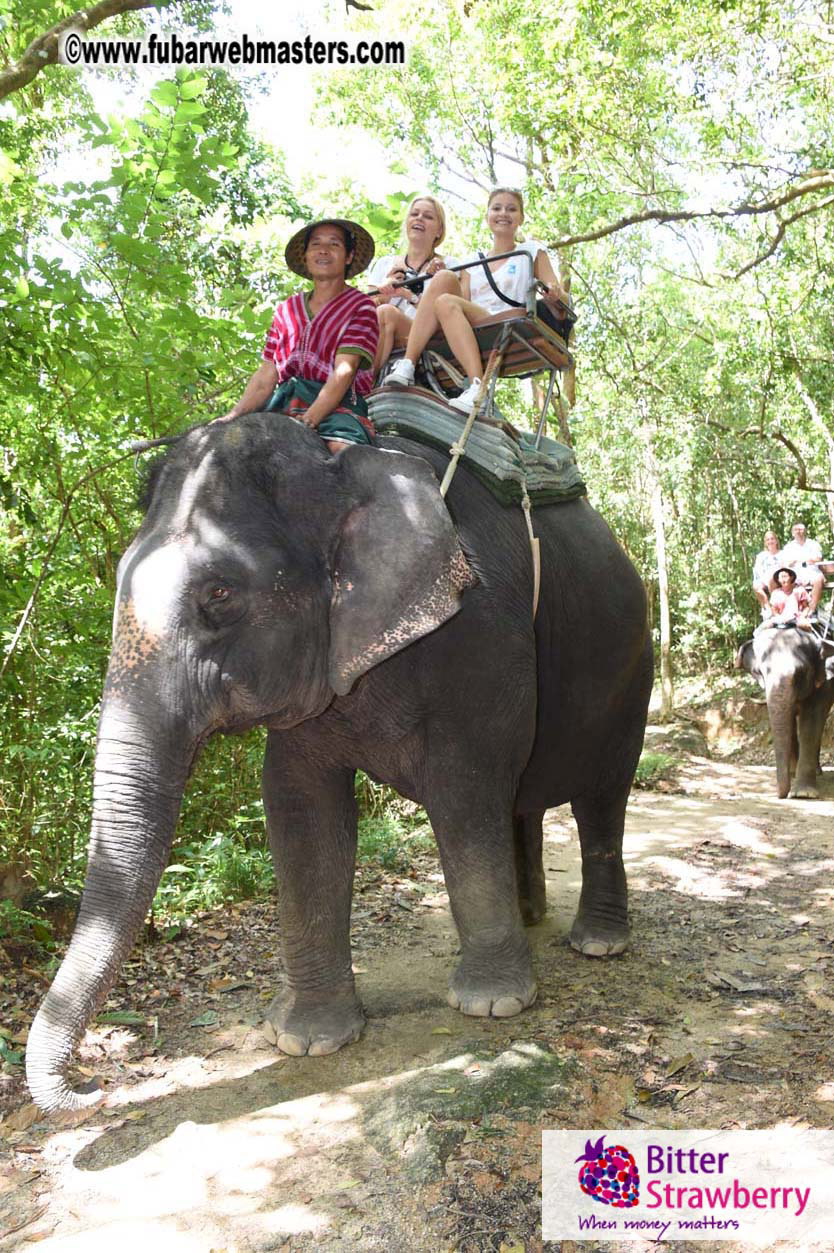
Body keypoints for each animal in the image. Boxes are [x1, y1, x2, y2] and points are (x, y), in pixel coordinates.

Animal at [26, 413, 652, 1112]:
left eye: (220, 594)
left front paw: (492, 1006)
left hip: (634, 665)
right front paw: (306, 1039)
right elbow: (300, 807)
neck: (345, 463)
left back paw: (598, 943)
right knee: (525, 803)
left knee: (603, 797)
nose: (94, 1086)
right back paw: (531, 917)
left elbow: (464, 792)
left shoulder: (481, 632)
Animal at [736, 623, 834, 798]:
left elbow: (811, 720)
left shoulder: (824, 680)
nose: (780, 795)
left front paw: (803, 793)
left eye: (801, 672)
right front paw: (793, 774)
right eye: (759, 672)